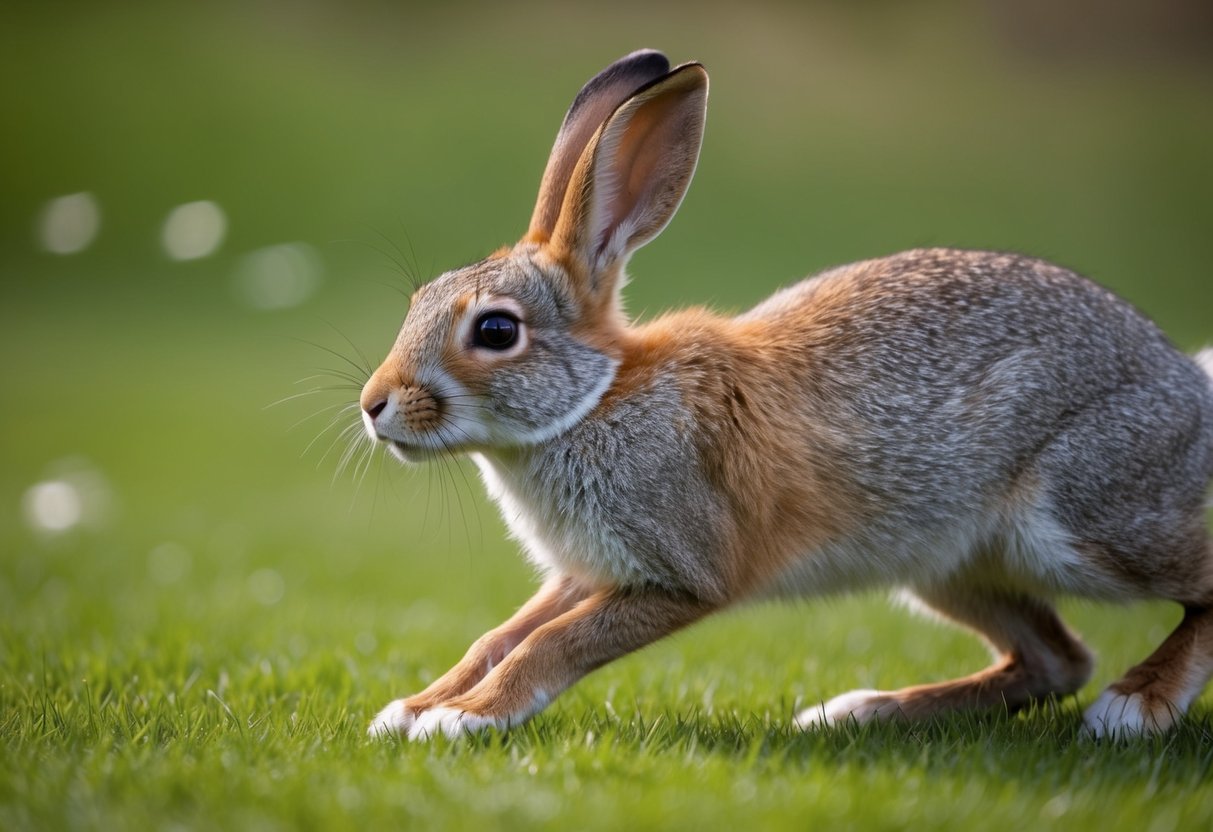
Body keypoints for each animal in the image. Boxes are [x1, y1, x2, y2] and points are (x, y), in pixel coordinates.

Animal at [358, 49, 1213, 741]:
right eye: (420, 299)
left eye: (497, 330)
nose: (374, 405)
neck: (595, 399)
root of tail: (1189, 389)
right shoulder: (584, 572)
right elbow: (498, 636)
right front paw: (412, 708)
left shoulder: (677, 574)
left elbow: (549, 642)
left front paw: (463, 720)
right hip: (945, 560)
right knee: (1054, 660)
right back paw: (862, 711)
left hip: (1079, 515)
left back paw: (1133, 707)